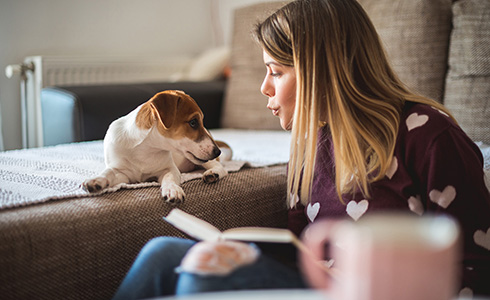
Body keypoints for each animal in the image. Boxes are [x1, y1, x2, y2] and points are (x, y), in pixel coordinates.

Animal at [83, 89, 229, 204]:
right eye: (193, 122)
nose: (218, 152)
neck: (145, 149)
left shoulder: (169, 168)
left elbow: (169, 177)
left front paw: (172, 189)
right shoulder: (123, 173)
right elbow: (108, 172)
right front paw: (96, 180)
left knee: (220, 167)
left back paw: (213, 173)